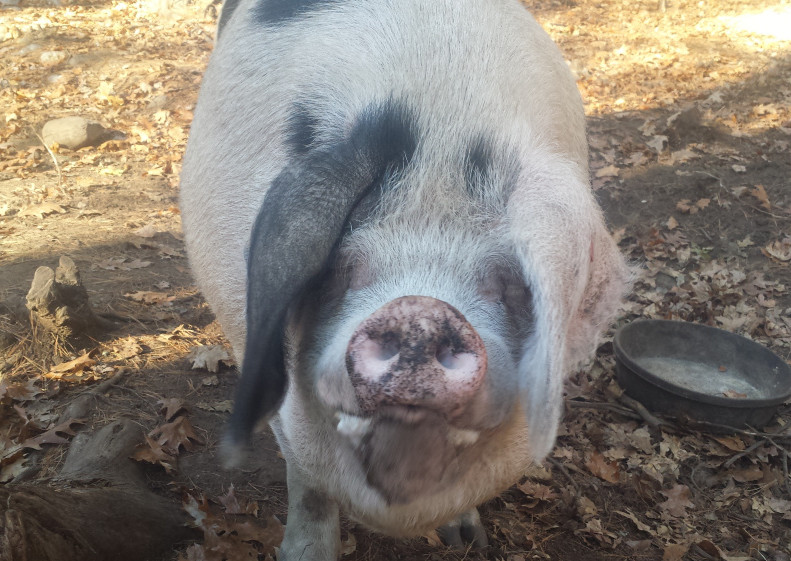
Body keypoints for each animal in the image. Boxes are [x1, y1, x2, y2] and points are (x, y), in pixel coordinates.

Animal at [179, 2, 632, 556]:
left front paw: (469, 541)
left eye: (509, 283)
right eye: (341, 267)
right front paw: (303, 554)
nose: (421, 311)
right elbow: (308, 485)